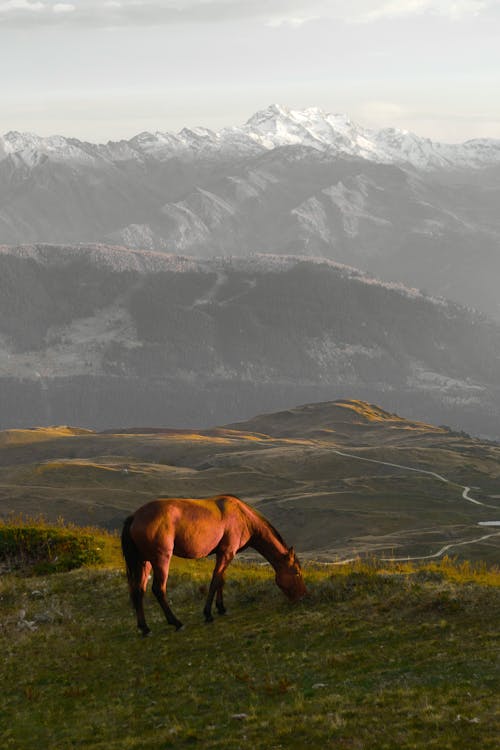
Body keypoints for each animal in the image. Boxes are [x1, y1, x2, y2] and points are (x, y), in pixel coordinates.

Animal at [122, 496, 308, 636]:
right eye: (297, 572)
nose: (303, 596)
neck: (243, 517)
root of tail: (134, 517)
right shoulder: (227, 553)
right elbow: (215, 580)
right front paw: (208, 614)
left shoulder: (224, 554)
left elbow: (221, 580)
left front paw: (221, 608)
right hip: (161, 560)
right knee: (158, 589)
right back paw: (176, 623)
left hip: (143, 562)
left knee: (138, 590)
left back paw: (145, 628)